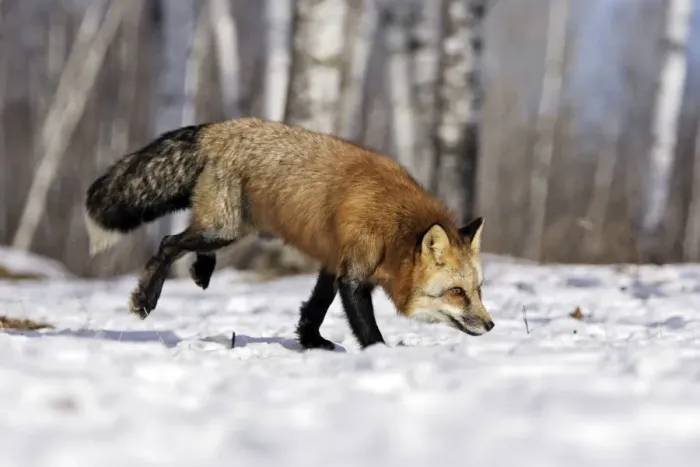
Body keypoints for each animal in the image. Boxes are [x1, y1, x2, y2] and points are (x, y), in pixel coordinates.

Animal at [84, 117, 494, 350]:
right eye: (456, 293)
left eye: (478, 290)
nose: (491, 325)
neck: (393, 227)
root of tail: (219, 127)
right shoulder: (353, 274)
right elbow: (365, 326)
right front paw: (379, 355)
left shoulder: (334, 259)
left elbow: (315, 308)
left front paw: (312, 342)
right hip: (223, 229)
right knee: (169, 243)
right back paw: (145, 298)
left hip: (228, 228)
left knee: (190, 241)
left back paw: (201, 270)